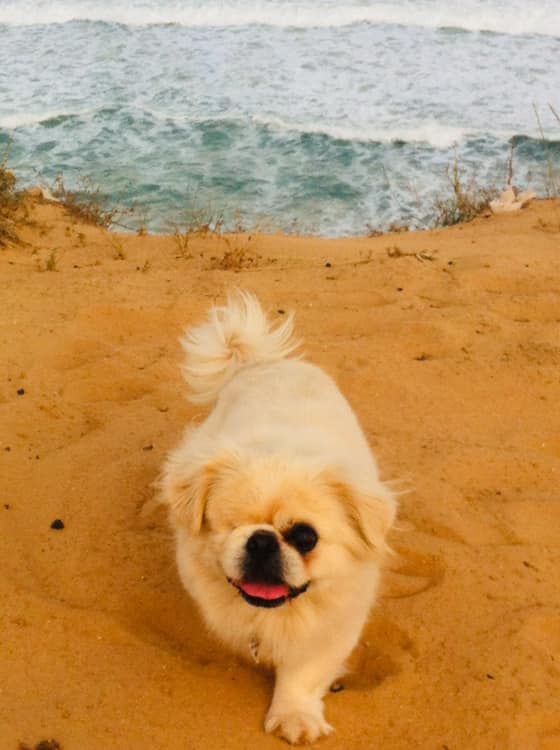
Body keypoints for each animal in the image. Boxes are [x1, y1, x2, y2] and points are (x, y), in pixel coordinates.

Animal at [160, 290, 396, 744]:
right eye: (231, 527)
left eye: (306, 537)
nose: (262, 541)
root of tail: (260, 362)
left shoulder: (331, 629)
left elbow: (302, 676)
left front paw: (295, 718)